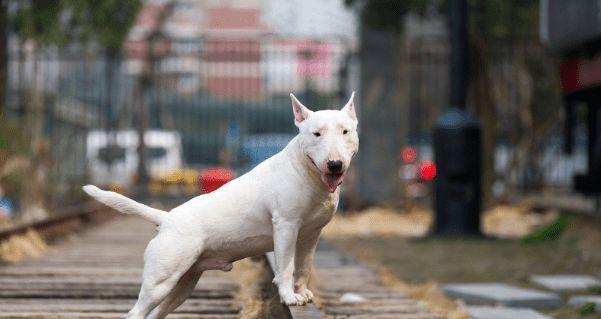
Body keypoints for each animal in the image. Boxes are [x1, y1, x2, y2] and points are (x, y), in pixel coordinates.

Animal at [82, 93, 358, 319]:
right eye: (316, 133)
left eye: (346, 131)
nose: (335, 164)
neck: (306, 171)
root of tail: (166, 218)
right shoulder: (286, 226)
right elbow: (286, 266)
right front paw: (289, 297)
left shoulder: (311, 234)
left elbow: (303, 267)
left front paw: (303, 294)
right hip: (160, 280)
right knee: (136, 312)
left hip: (183, 284)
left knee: (156, 313)